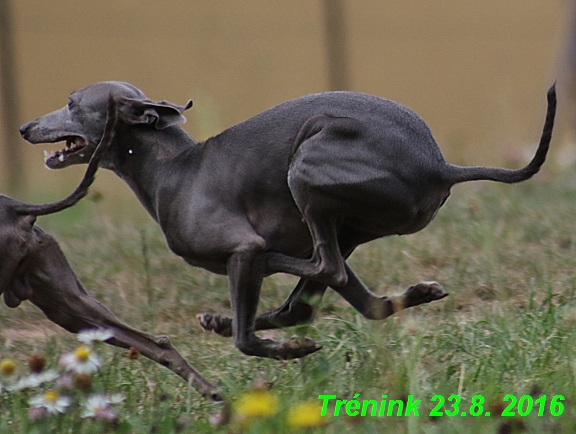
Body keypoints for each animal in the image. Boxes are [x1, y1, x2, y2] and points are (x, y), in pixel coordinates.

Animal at [20, 80, 556, 376]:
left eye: (71, 102)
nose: (25, 127)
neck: (174, 168)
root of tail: (440, 165)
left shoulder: (242, 246)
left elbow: (246, 336)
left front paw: (287, 349)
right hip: (347, 224)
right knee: (351, 299)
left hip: (307, 168)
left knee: (323, 269)